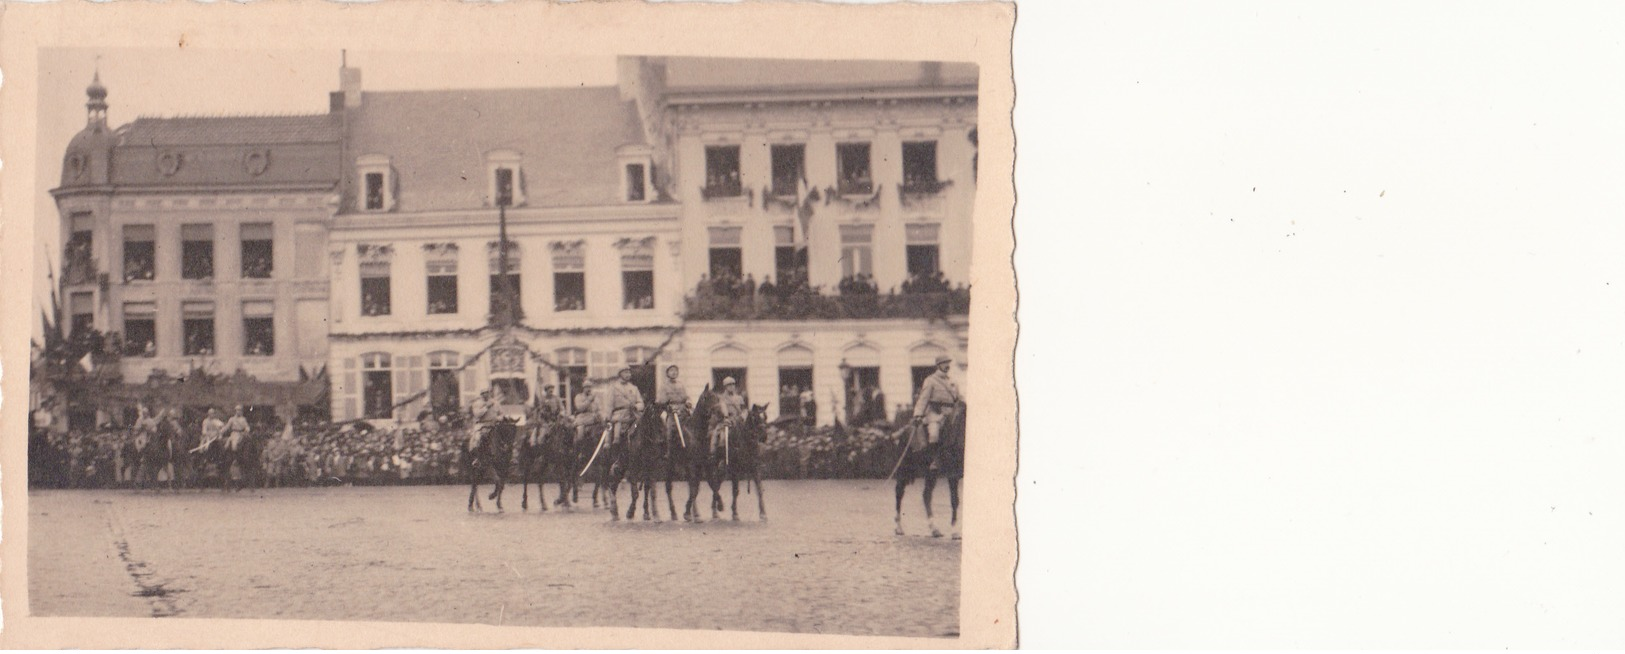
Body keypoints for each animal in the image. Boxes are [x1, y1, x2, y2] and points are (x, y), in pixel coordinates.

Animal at [890, 401, 962, 540]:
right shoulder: (953, 473)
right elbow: (954, 500)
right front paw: (955, 531)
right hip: (904, 470)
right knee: (899, 493)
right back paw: (899, 527)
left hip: (931, 474)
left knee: (926, 495)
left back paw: (934, 529)